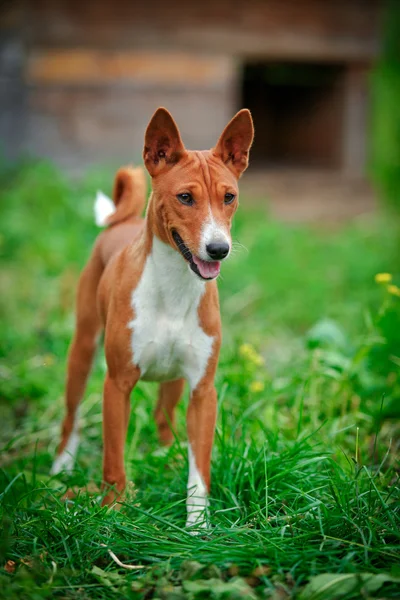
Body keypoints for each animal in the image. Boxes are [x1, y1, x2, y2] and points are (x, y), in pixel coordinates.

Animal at [52, 109, 253, 528]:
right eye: (185, 197)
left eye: (229, 197)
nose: (218, 249)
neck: (175, 289)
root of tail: (119, 224)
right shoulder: (117, 385)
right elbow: (113, 462)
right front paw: (112, 512)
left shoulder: (202, 391)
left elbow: (200, 473)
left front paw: (198, 528)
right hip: (82, 352)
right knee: (71, 417)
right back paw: (61, 468)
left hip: (174, 380)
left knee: (164, 417)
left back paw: (167, 457)